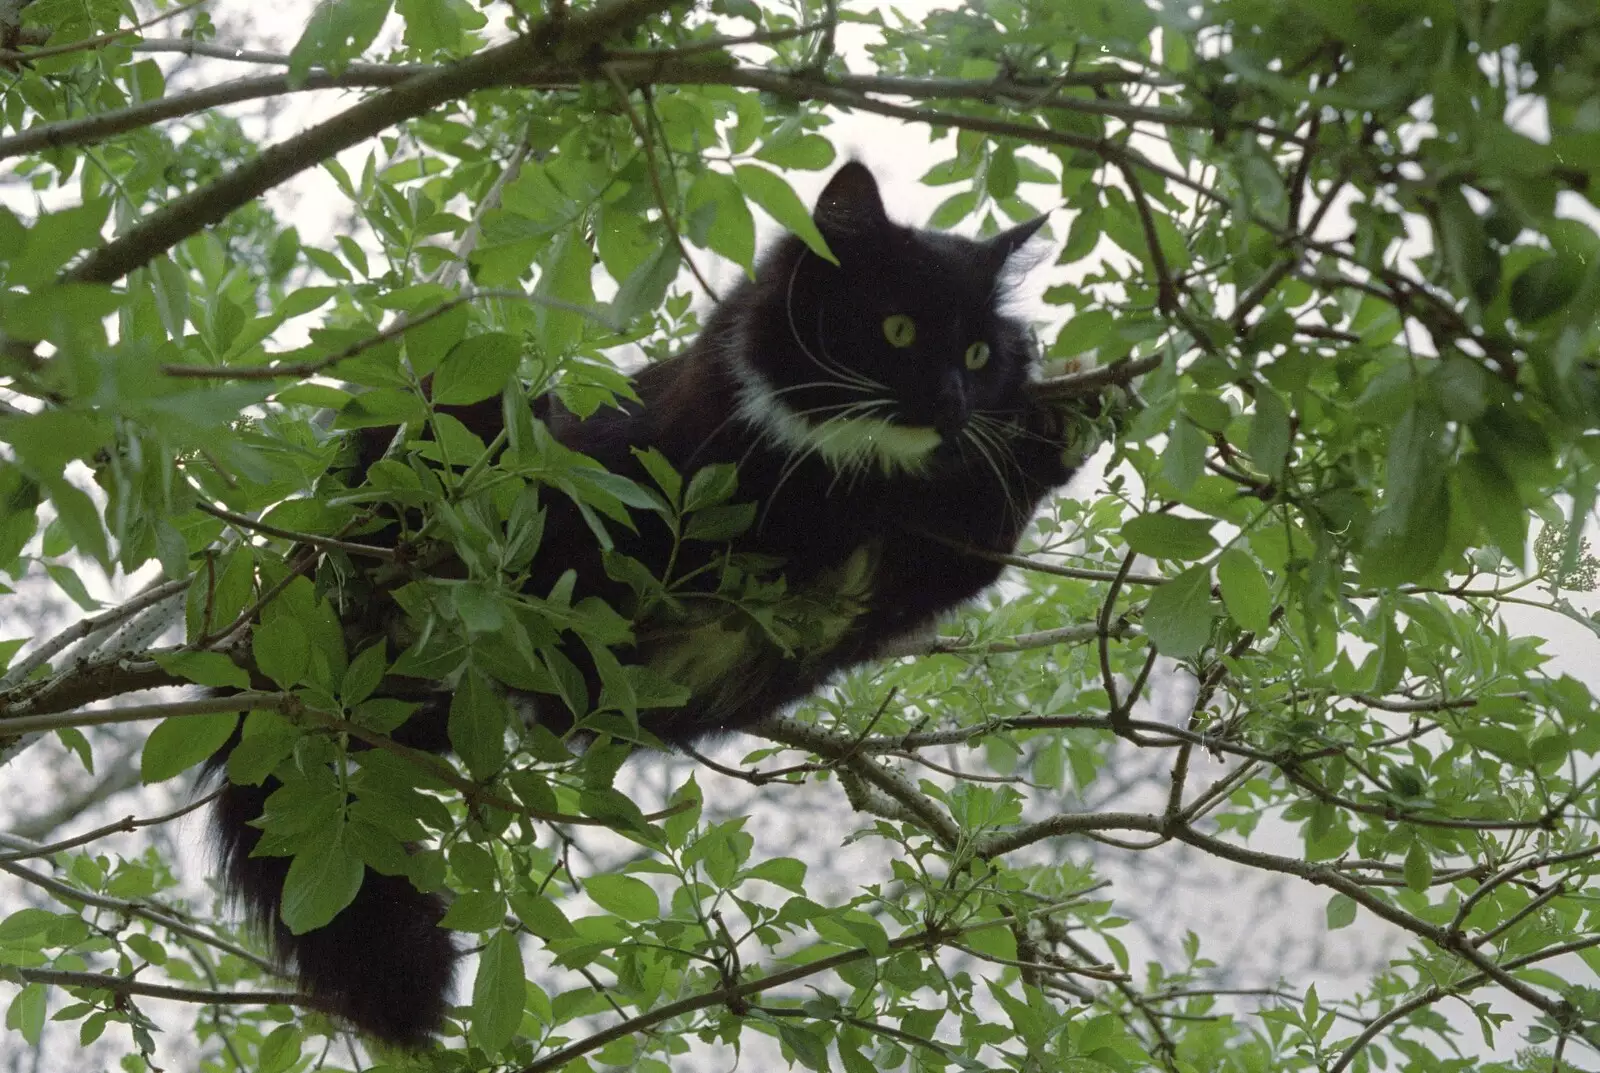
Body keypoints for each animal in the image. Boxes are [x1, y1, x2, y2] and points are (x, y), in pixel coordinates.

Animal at [206, 161, 1088, 1049]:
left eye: (978, 351)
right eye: (898, 329)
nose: (952, 404)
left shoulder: (909, 577)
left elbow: (975, 537)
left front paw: (1055, 427)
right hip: (440, 420)